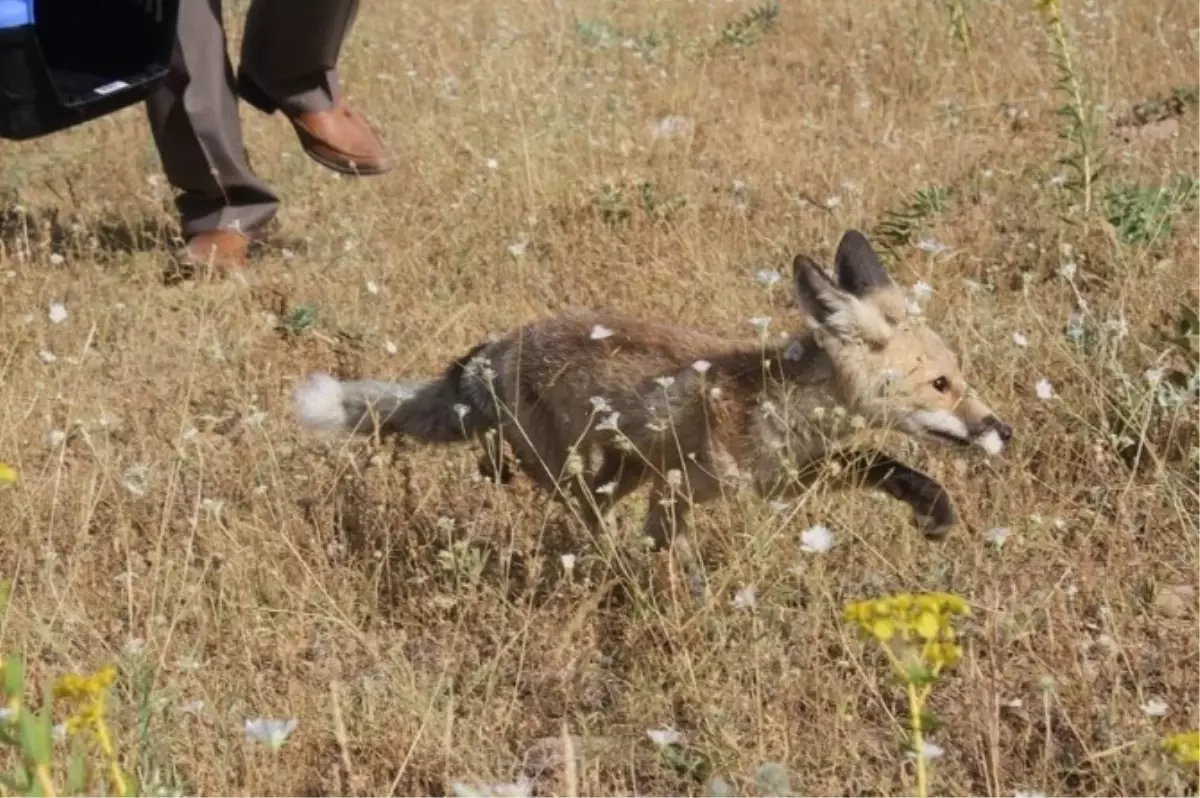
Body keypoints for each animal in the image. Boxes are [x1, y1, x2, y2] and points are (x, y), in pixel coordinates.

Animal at [292, 226, 1012, 544]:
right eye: (942, 384)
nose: (1001, 428)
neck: (773, 402)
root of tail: (492, 347)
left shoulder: (783, 479)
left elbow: (875, 460)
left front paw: (931, 507)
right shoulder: (684, 490)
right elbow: (673, 559)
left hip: (620, 469)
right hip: (570, 470)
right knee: (563, 502)